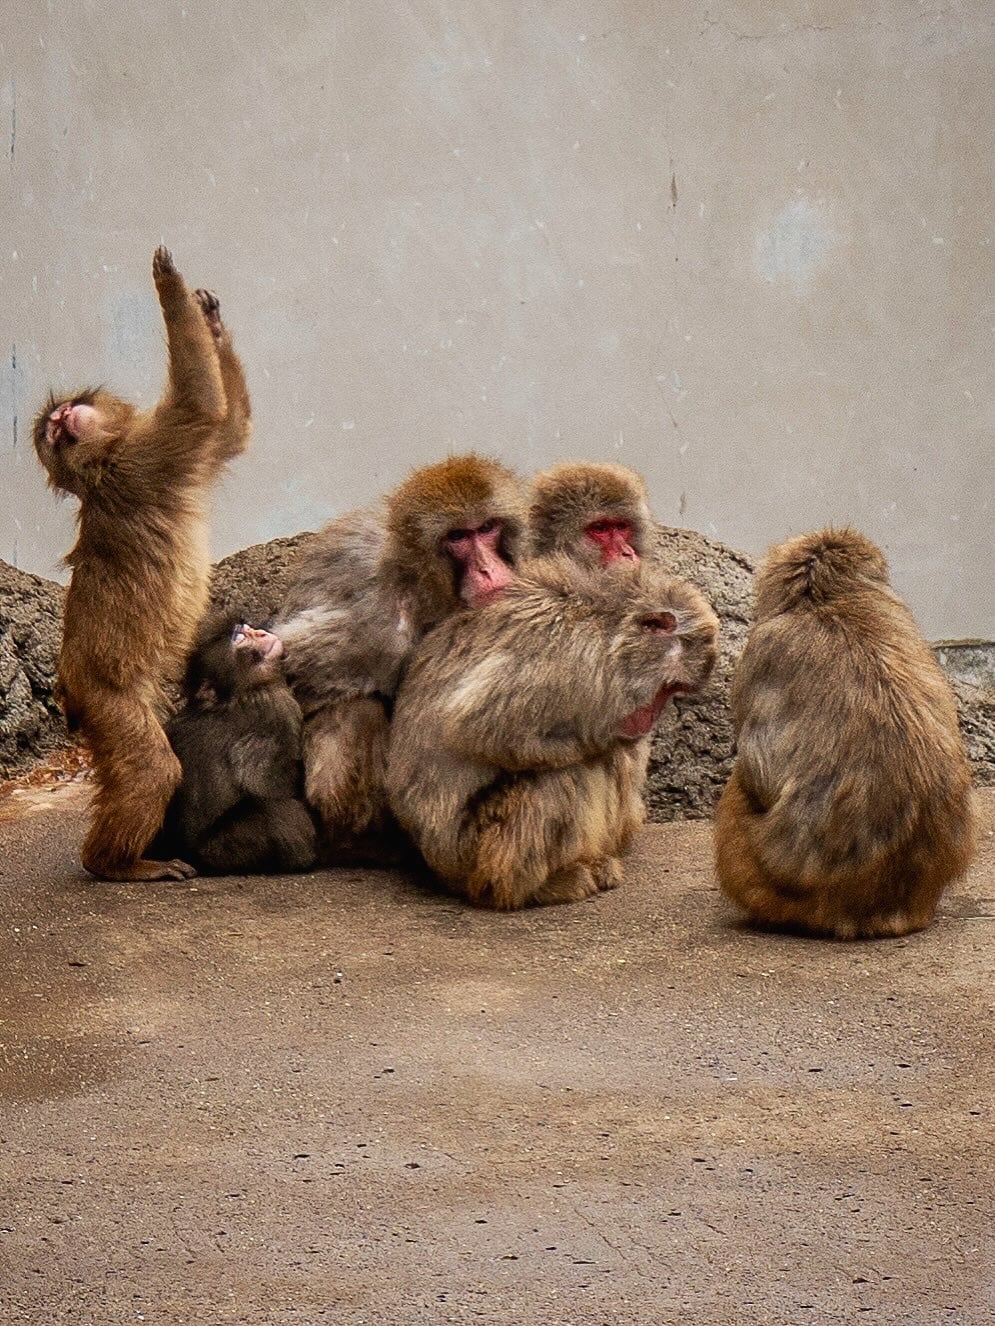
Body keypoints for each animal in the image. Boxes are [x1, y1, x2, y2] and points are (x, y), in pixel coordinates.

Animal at [32, 246, 252, 881]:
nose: (63, 421)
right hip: (107, 699)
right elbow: (202, 406)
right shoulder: (147, 456)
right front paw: (168, 286)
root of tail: (69, 686)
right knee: (153, 768)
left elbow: (227, 429)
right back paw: (114, 865)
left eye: (63, 417)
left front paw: (210, 322)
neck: (99, 462)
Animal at [153, 614, 317, 874]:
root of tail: (187, 852)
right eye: (241, 638)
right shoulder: (278, 709)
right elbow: (269, 781)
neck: (241, 692)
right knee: (276, 811)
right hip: (225, 849)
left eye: (247, 630)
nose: (260, 632)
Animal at [386, 556, 719, 909]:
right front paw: (599, 740)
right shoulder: (568, 661)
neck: (609, 632)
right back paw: (533, 887)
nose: (652, 716)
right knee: (560, 776)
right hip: (474, 849)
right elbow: (479, 728)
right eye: (667, 688)